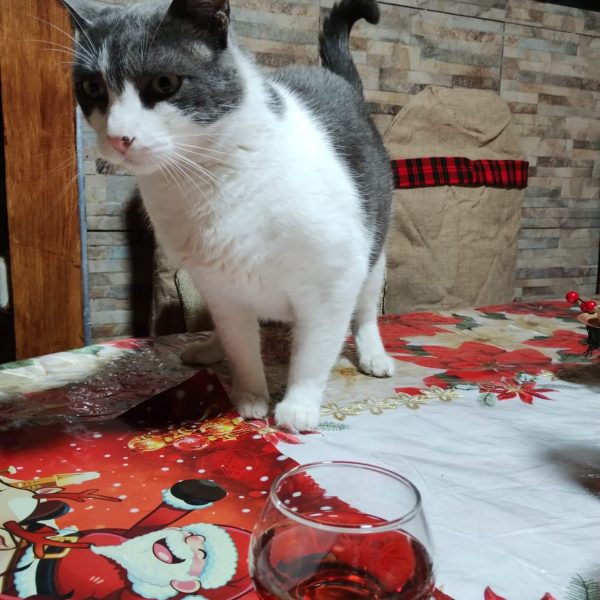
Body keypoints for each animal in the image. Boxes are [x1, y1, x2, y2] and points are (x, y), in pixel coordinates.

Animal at [63, 0, 396, 432]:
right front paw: (250, 398)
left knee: (367, 309)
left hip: (374, 247)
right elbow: (242, 348)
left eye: (165, 83)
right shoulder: (224, 290)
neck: (205, 178)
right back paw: (209, 347)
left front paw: (298, 404)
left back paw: (373, 354)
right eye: (93, 88)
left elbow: (314, 352)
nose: (119, 137)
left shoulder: (333, 280)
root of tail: (338, 80)